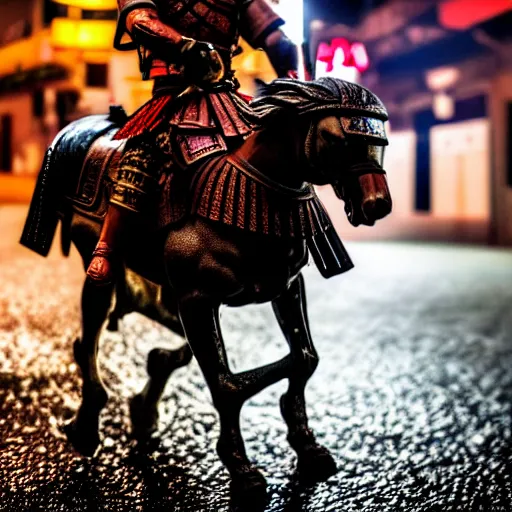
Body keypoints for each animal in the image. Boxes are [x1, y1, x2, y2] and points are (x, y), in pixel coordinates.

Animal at [21, 78, 392, 510]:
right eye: (341, 139)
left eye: (380, 141)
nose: (376, 205)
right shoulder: (197, 300)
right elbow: (227, 384)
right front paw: (243, 471)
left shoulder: (283, 287)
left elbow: (303, 358)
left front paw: (307, 446)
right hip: (100, 261)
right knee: (91, 331)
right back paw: (86, 426)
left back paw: (145, 402)